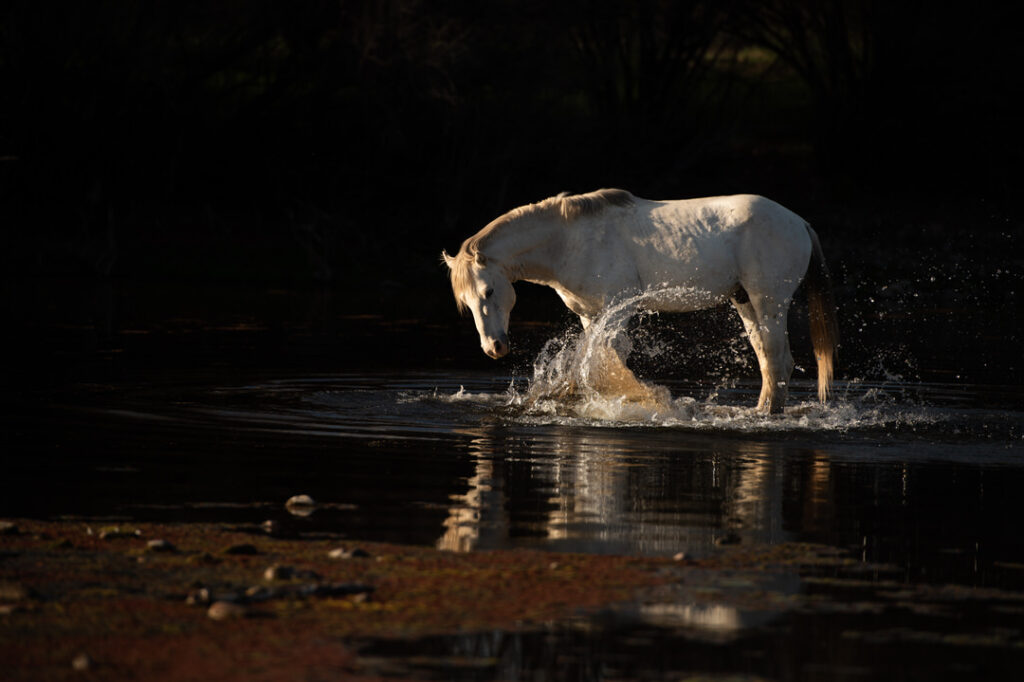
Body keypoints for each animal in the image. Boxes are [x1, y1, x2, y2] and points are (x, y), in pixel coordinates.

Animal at [442, 188, 839, 411]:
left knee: (779, 360)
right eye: (466, 303)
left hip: (769, 302)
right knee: (768, 362)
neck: (570, 239)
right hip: (746, 303)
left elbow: (602, 358)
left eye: (488, 292)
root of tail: (799, 222)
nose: (494, 348)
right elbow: (595, 358)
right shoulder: (591, 314)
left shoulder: (620, 306)